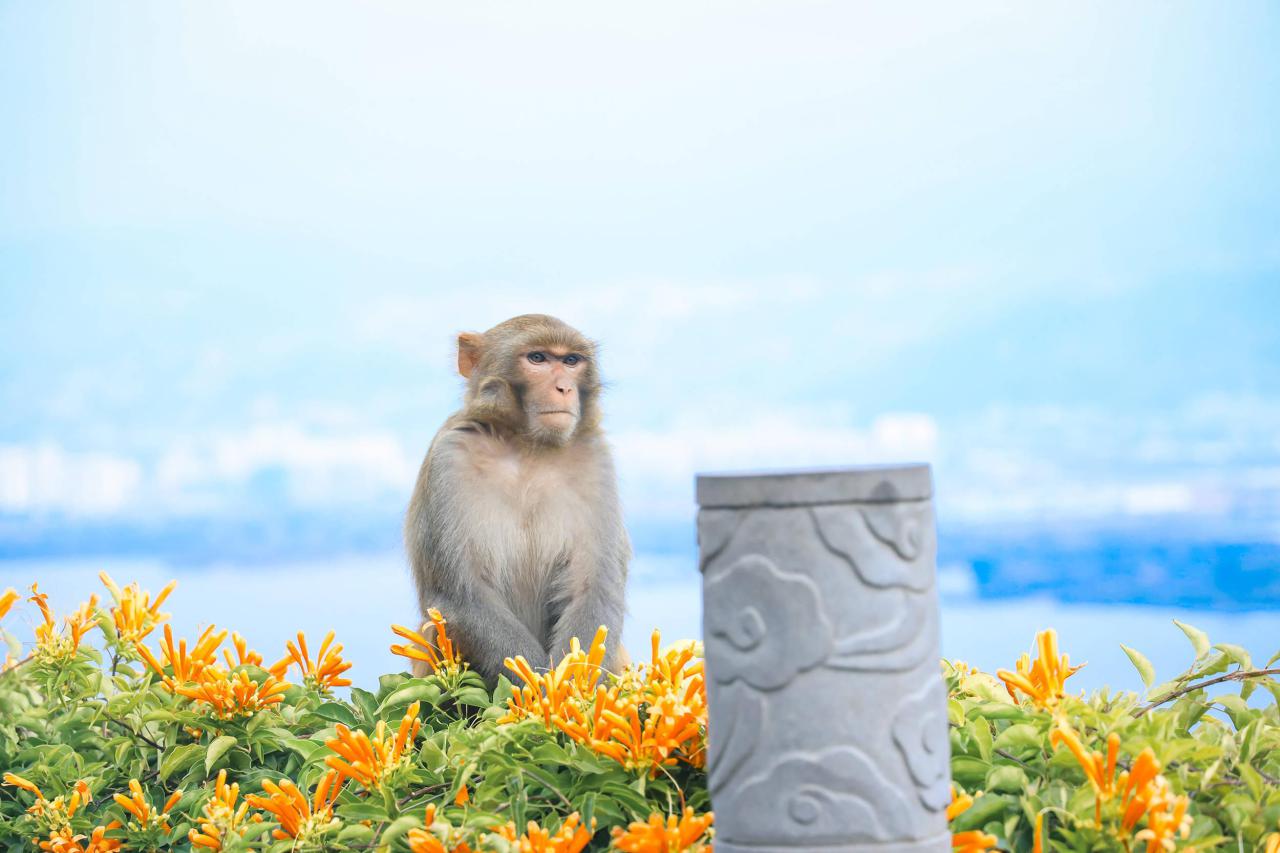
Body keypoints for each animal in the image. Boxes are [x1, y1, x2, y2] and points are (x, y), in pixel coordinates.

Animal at [404, 313, 629, 686]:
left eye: (571, 361)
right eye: (537, 358)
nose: (564, 388)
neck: (528, 446)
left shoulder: (596, 461)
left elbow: (593, 589)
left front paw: (565, 689)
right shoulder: (448, 457)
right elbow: (462, 594)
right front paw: (539, 690)